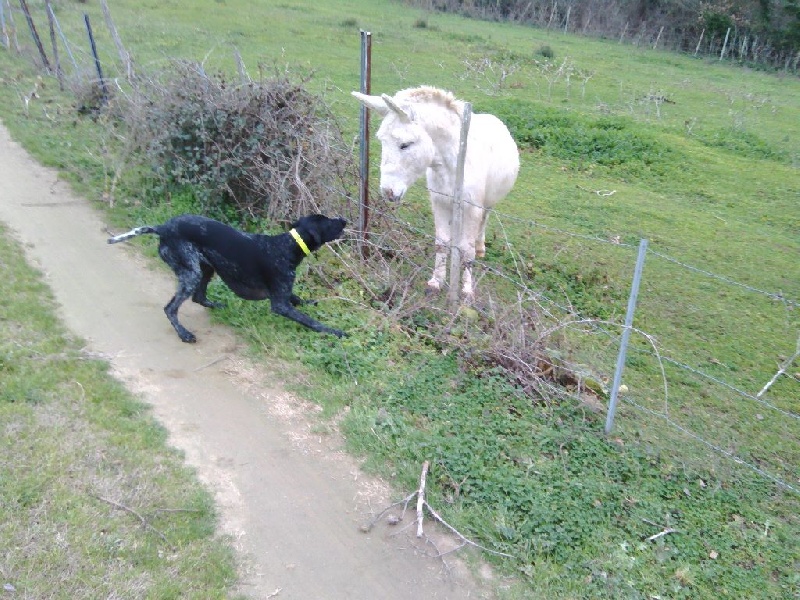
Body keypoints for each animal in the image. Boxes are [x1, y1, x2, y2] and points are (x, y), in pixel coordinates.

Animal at [108, 213, 346, 342]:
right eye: (328, 222)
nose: (343, 220)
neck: (287, 247)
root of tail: (162, 228)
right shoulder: (280, 304)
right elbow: (311, 322)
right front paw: (335, 332)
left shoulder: (285, 294)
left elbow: (299, 300)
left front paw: (313, 303)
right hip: (191, 273)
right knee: (171, 308)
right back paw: (184, 334)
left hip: (206, 268)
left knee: (199, 297)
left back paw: (218, 306)